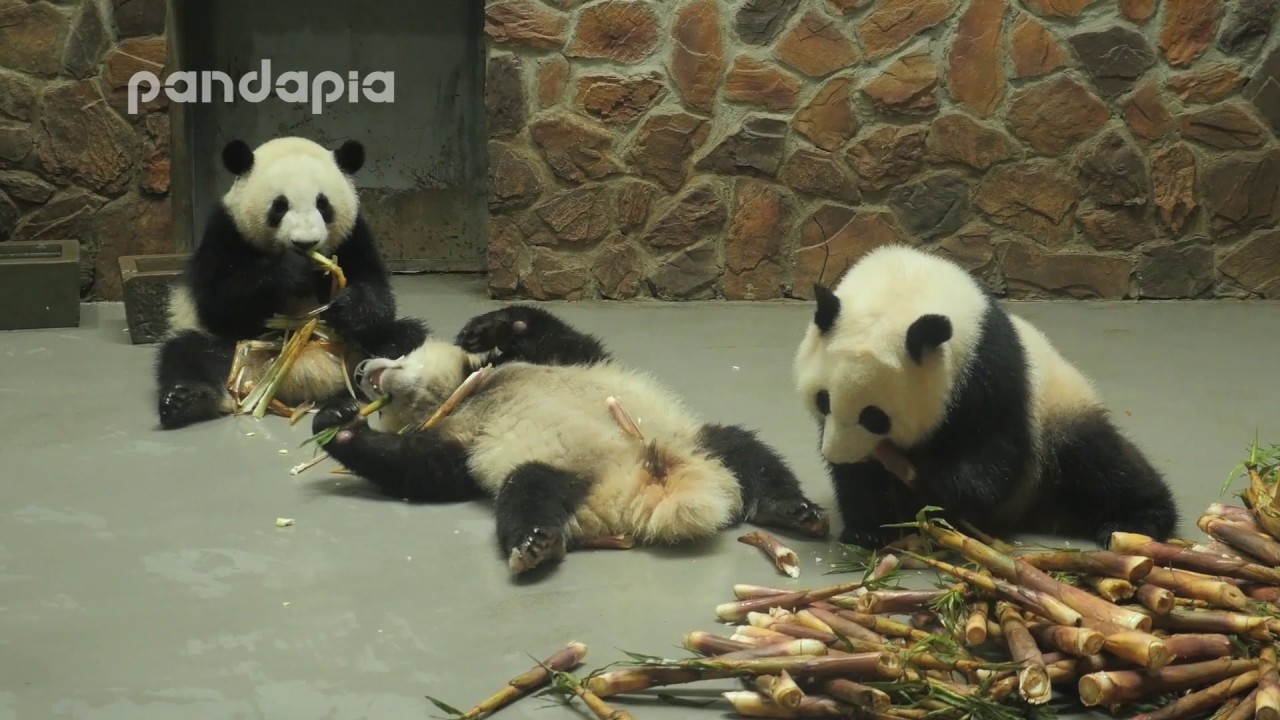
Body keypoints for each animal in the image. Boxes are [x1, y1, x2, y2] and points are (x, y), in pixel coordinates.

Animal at [155, 136, 428, 430]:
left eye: (323, 204)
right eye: (279, 206)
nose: (306, 242)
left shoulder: (355, 236)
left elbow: (376, 291)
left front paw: (347, 306)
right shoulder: (226, 232)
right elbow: (218, 302)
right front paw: (292, 271)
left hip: (354, 349)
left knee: (405, 337)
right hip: (233, 351)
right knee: (186, 353)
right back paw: (187, 400)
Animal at [310, 304, 831, 576]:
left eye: (400, 353)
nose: (363, 368)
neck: (463, 393)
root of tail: (647, 485)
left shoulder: (552, 362)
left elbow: (568, 341)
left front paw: (486, 327)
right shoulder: (463, 441)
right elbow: (424, 471)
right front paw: (336, 420)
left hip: (689, 438)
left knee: (746, 451)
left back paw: (792, 510)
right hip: (572, 476)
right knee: (527, 490)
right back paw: (536, 543)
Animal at [792, 244, 1179, 551]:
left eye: (874, 416)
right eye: (824, 400)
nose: (837, 453)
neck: (905, 285)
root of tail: (1036, 510)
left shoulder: (987, 372)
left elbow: (993, 455)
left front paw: (936, 491)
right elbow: (860, 477)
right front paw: (869, 529)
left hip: (1057, 416)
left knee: (1100, 463)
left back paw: (1135, 522)